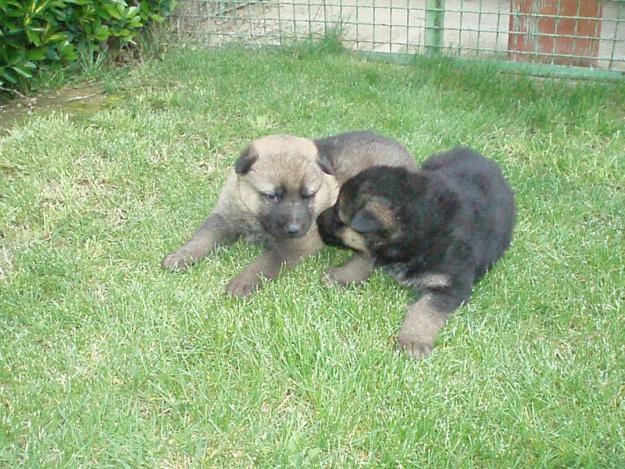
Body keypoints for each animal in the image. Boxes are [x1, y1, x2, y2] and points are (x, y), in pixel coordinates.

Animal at [316, 147, 516, 358]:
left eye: (338, 215)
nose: (317, 220)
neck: (424, 224)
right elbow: (364, 258)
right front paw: (342, 276)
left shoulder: (450, 284)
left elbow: (424, 310)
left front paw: (413, 341)